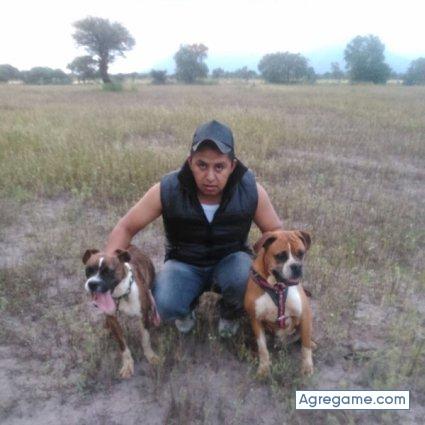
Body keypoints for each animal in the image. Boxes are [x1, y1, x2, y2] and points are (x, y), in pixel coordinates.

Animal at [82, 244, 160, 379]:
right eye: (88, 270)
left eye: (108, 271)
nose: (92, 284)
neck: (120, 295)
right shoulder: (113, 320)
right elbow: (123, 345)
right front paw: (128, 365)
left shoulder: (143, 316)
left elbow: (146, 339)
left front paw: (150, 356)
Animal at [244, 230, 314, 377]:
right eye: (281, 256)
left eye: (301, 253)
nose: (296, 266)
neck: (277, 288)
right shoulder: (256, 319)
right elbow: (262, 347)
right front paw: (264, 367)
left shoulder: (305, 315)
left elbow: (305, 346)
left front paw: (307, 367)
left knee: (305, 337)